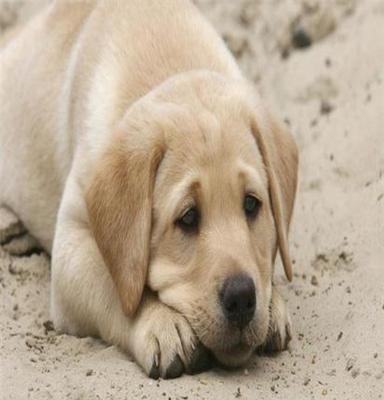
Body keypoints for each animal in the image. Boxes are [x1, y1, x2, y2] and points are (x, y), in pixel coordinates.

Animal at [0, 0, 298, 378]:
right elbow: (117, 285)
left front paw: (275, 305)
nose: (242, 298)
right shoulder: (72, 243)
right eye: (188, 218)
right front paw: (162, 324)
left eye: (251, 204)